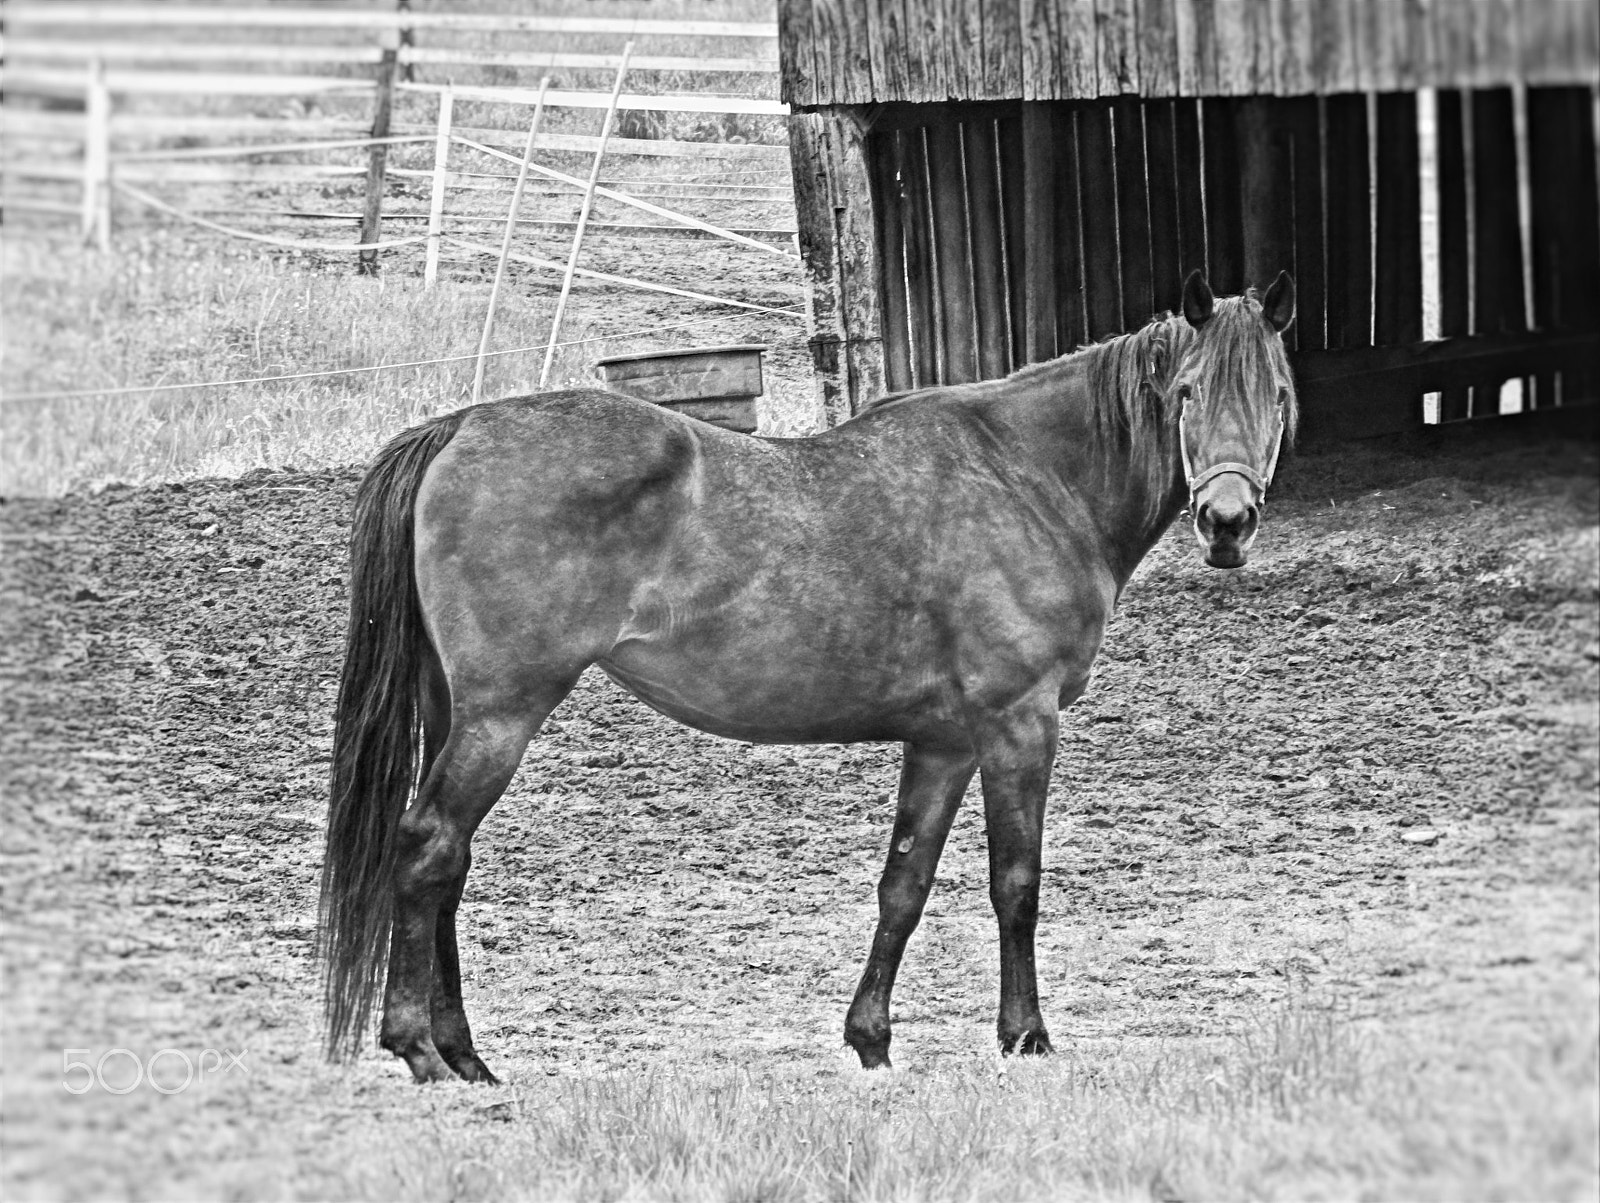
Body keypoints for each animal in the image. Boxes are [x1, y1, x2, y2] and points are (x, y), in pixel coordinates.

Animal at [319, 269, 1298, 1083]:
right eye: (1188, 392)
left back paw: (465, 1053)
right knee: (429, 846)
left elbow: (904, 884)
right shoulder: (1019, 725)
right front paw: (1025, 1035)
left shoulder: (943, 744)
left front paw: (872, 1039)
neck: (1026, 476)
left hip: (459, 713)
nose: (1226, 522)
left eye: (1278, 395)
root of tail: (461, 426)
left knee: (450, 865)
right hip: (502, 716)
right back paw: (418, 1049)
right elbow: (1015, 881)